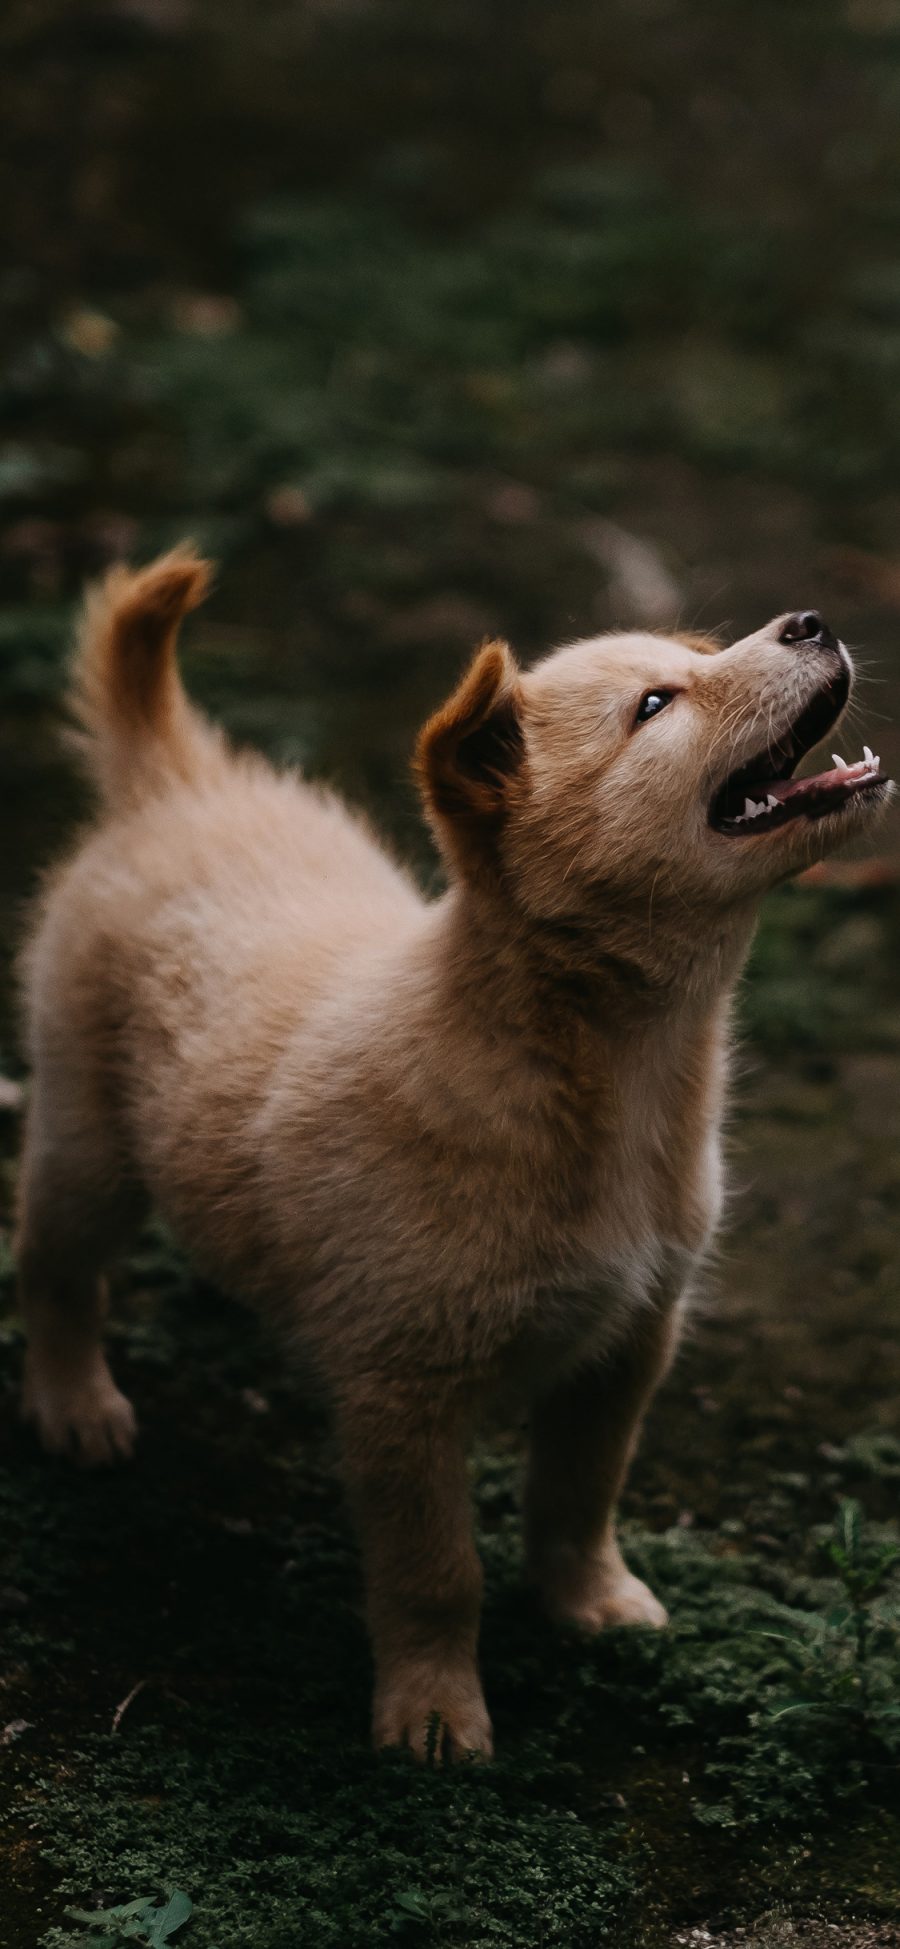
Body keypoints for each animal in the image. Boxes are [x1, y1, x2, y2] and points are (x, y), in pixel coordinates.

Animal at [15, 549, 892, 1754]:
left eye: (700, 660)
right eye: (655, 705)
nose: (807, 619)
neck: (599, 1072)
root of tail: (178, 786)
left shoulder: (632, 1339)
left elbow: (581, 1490)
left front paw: (589, 1601)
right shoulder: (404, 1392)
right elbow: (436, 1570)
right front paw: (432, 1710)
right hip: (88, 1140)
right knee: (54, 1264)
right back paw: (73, 1403)